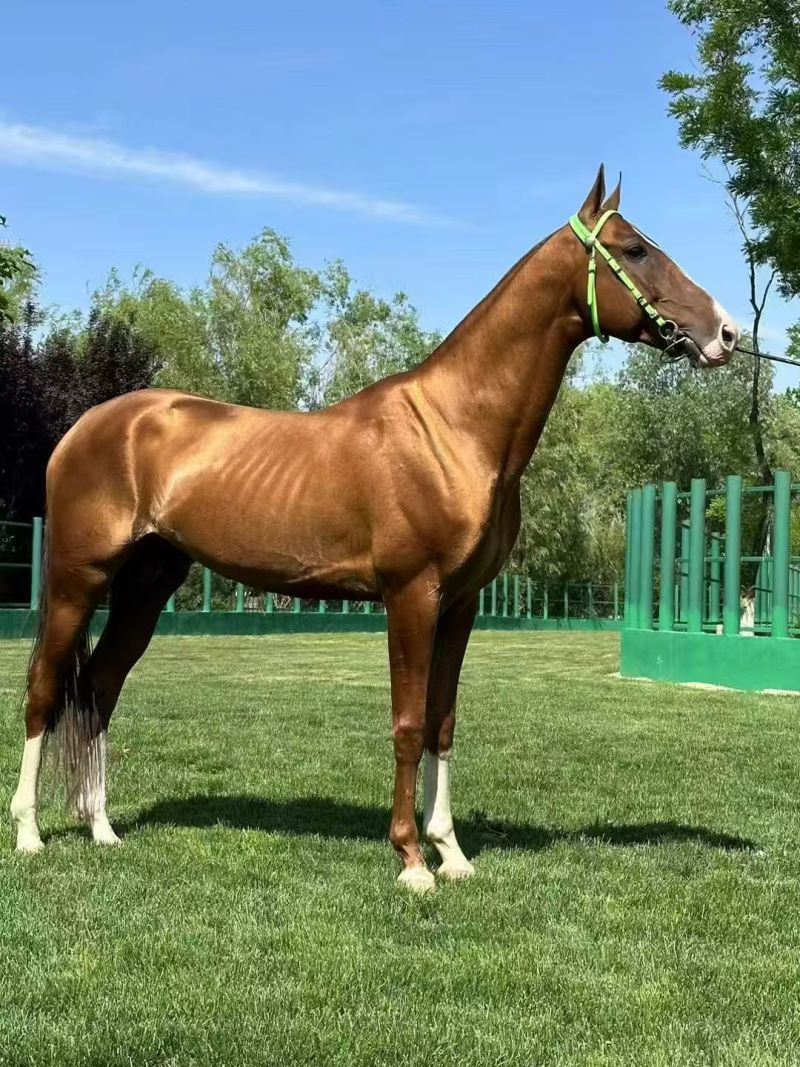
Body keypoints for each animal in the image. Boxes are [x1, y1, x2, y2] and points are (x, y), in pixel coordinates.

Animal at [10, 166, 738, 891]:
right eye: (634, 250)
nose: (726, 334)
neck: (455, 428)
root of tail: (87, 427)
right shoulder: (411, 594)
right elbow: (409, 723)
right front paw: (412, 859)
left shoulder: (461, 603)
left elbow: (443, 722)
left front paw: (452, 852)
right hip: (79, 581)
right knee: (45, 689)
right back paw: (29, 834)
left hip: (147, 584)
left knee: (99, 688)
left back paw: (102, 829)